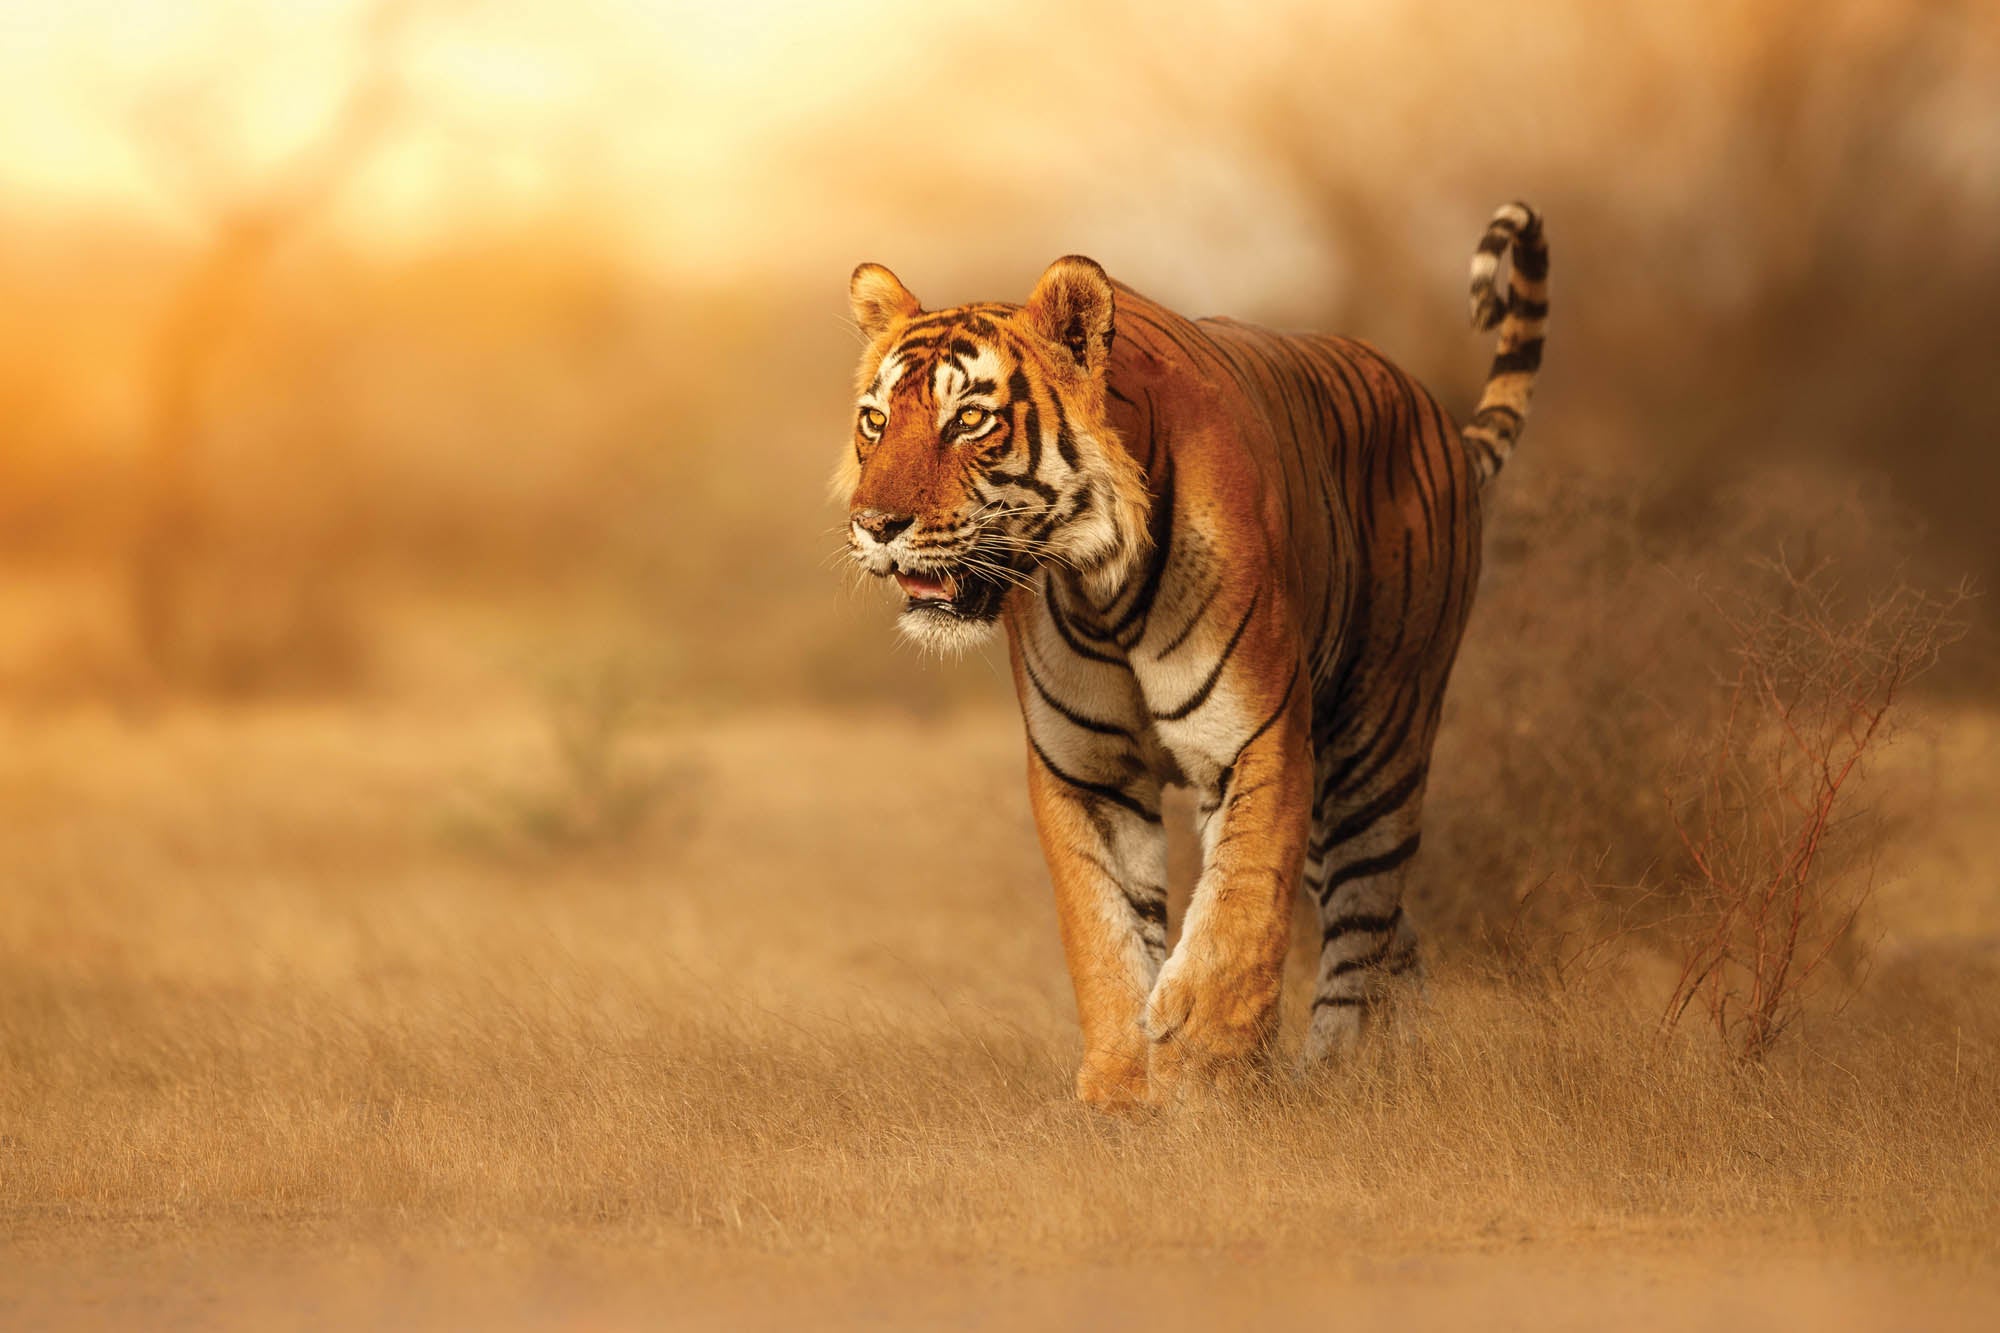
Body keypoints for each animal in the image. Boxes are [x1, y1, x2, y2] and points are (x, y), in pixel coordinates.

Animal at [835, 202, 1548, 1108]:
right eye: (875, 421)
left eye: (969, 420)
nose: (874, 524)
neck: (1098, 585)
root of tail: (1437, 417)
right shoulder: (1087, 771)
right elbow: (1103, 930)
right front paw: (1119, 1087)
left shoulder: (1258, 739)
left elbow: (1238, 912)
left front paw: (1204, 1073)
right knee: (1395, 933)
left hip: (1378, 741)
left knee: (1363, 919)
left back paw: (1338, 1074)